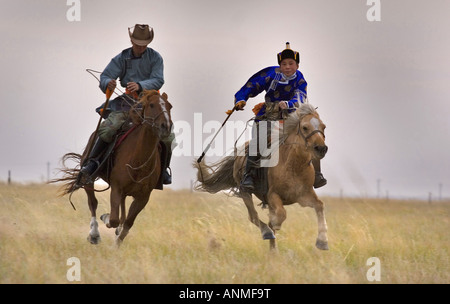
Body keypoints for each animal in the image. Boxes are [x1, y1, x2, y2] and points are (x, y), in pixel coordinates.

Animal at [52, 89, 172, 245]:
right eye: (151, 105)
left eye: (170, 106)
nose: (166, 126)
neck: (139, 161)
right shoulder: (116, 188)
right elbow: (114, 219)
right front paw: (106, 218)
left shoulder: (143, 197)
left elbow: (127, 224)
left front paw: (117, 242)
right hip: (88, 179)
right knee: (93, 203)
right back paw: (94, 234)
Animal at [195, 103, 328, 251]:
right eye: (305, 127)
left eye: (323, 127)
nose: (321, 148)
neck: (293, 166)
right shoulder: (272, 195)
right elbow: (280, 215)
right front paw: (275, 224)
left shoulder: (304, 195)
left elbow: (319, 206)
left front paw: (322, 241)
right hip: (245, 192)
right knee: (253, 216)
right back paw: (267, 232)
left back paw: (273, 250)